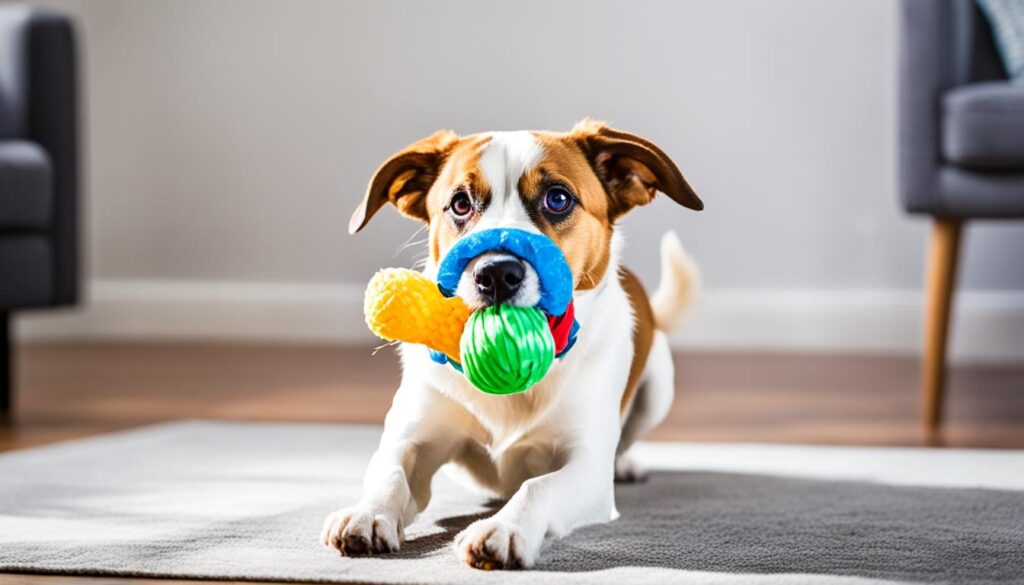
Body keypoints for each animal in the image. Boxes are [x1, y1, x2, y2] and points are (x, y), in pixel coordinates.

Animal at [323, 120, 700, 573]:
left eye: (558, 198)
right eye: (460, 203)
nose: (496, 273)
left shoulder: (588, 466)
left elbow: (538, 486)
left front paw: (505, 527)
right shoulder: (411, 436)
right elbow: (389, 472)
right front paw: (367, 513)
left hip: (660, 388)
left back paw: (624, 463)